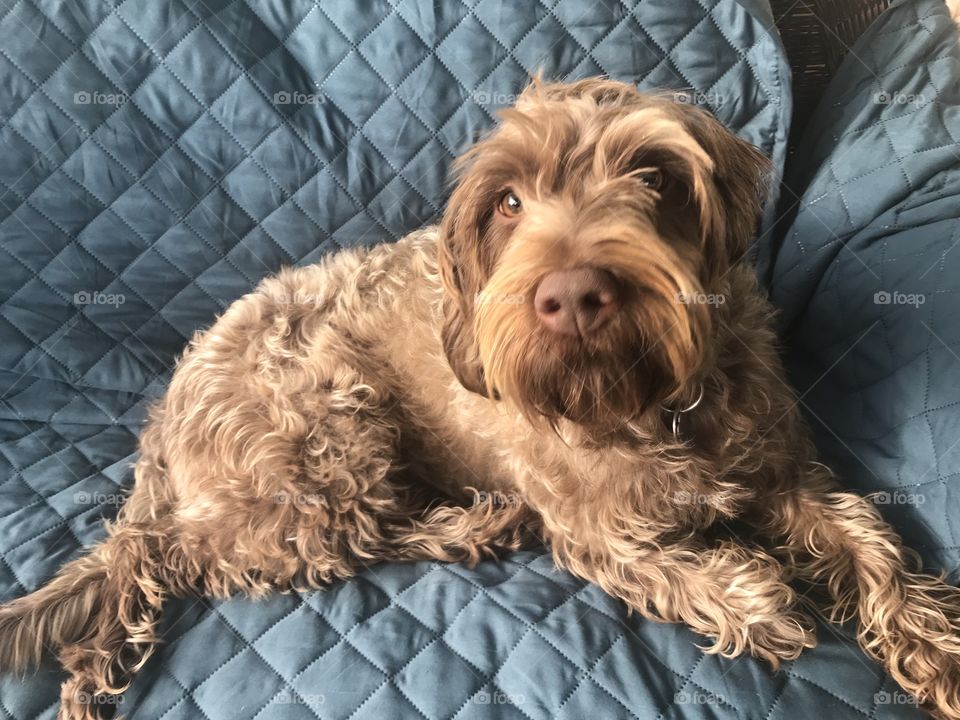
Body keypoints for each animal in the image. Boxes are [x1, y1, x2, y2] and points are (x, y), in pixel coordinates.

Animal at [1, 76, 960, 716]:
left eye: (655, 178)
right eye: (507, 201)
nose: (573, 294)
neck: (650, 402)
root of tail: (164, 416)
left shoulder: (789, 474)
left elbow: (871, 544)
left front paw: (933, 652)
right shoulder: (595, 530)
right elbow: (676, 568)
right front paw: (756, 600)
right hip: (325, 425)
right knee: (268, 551)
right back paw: (469, 525)